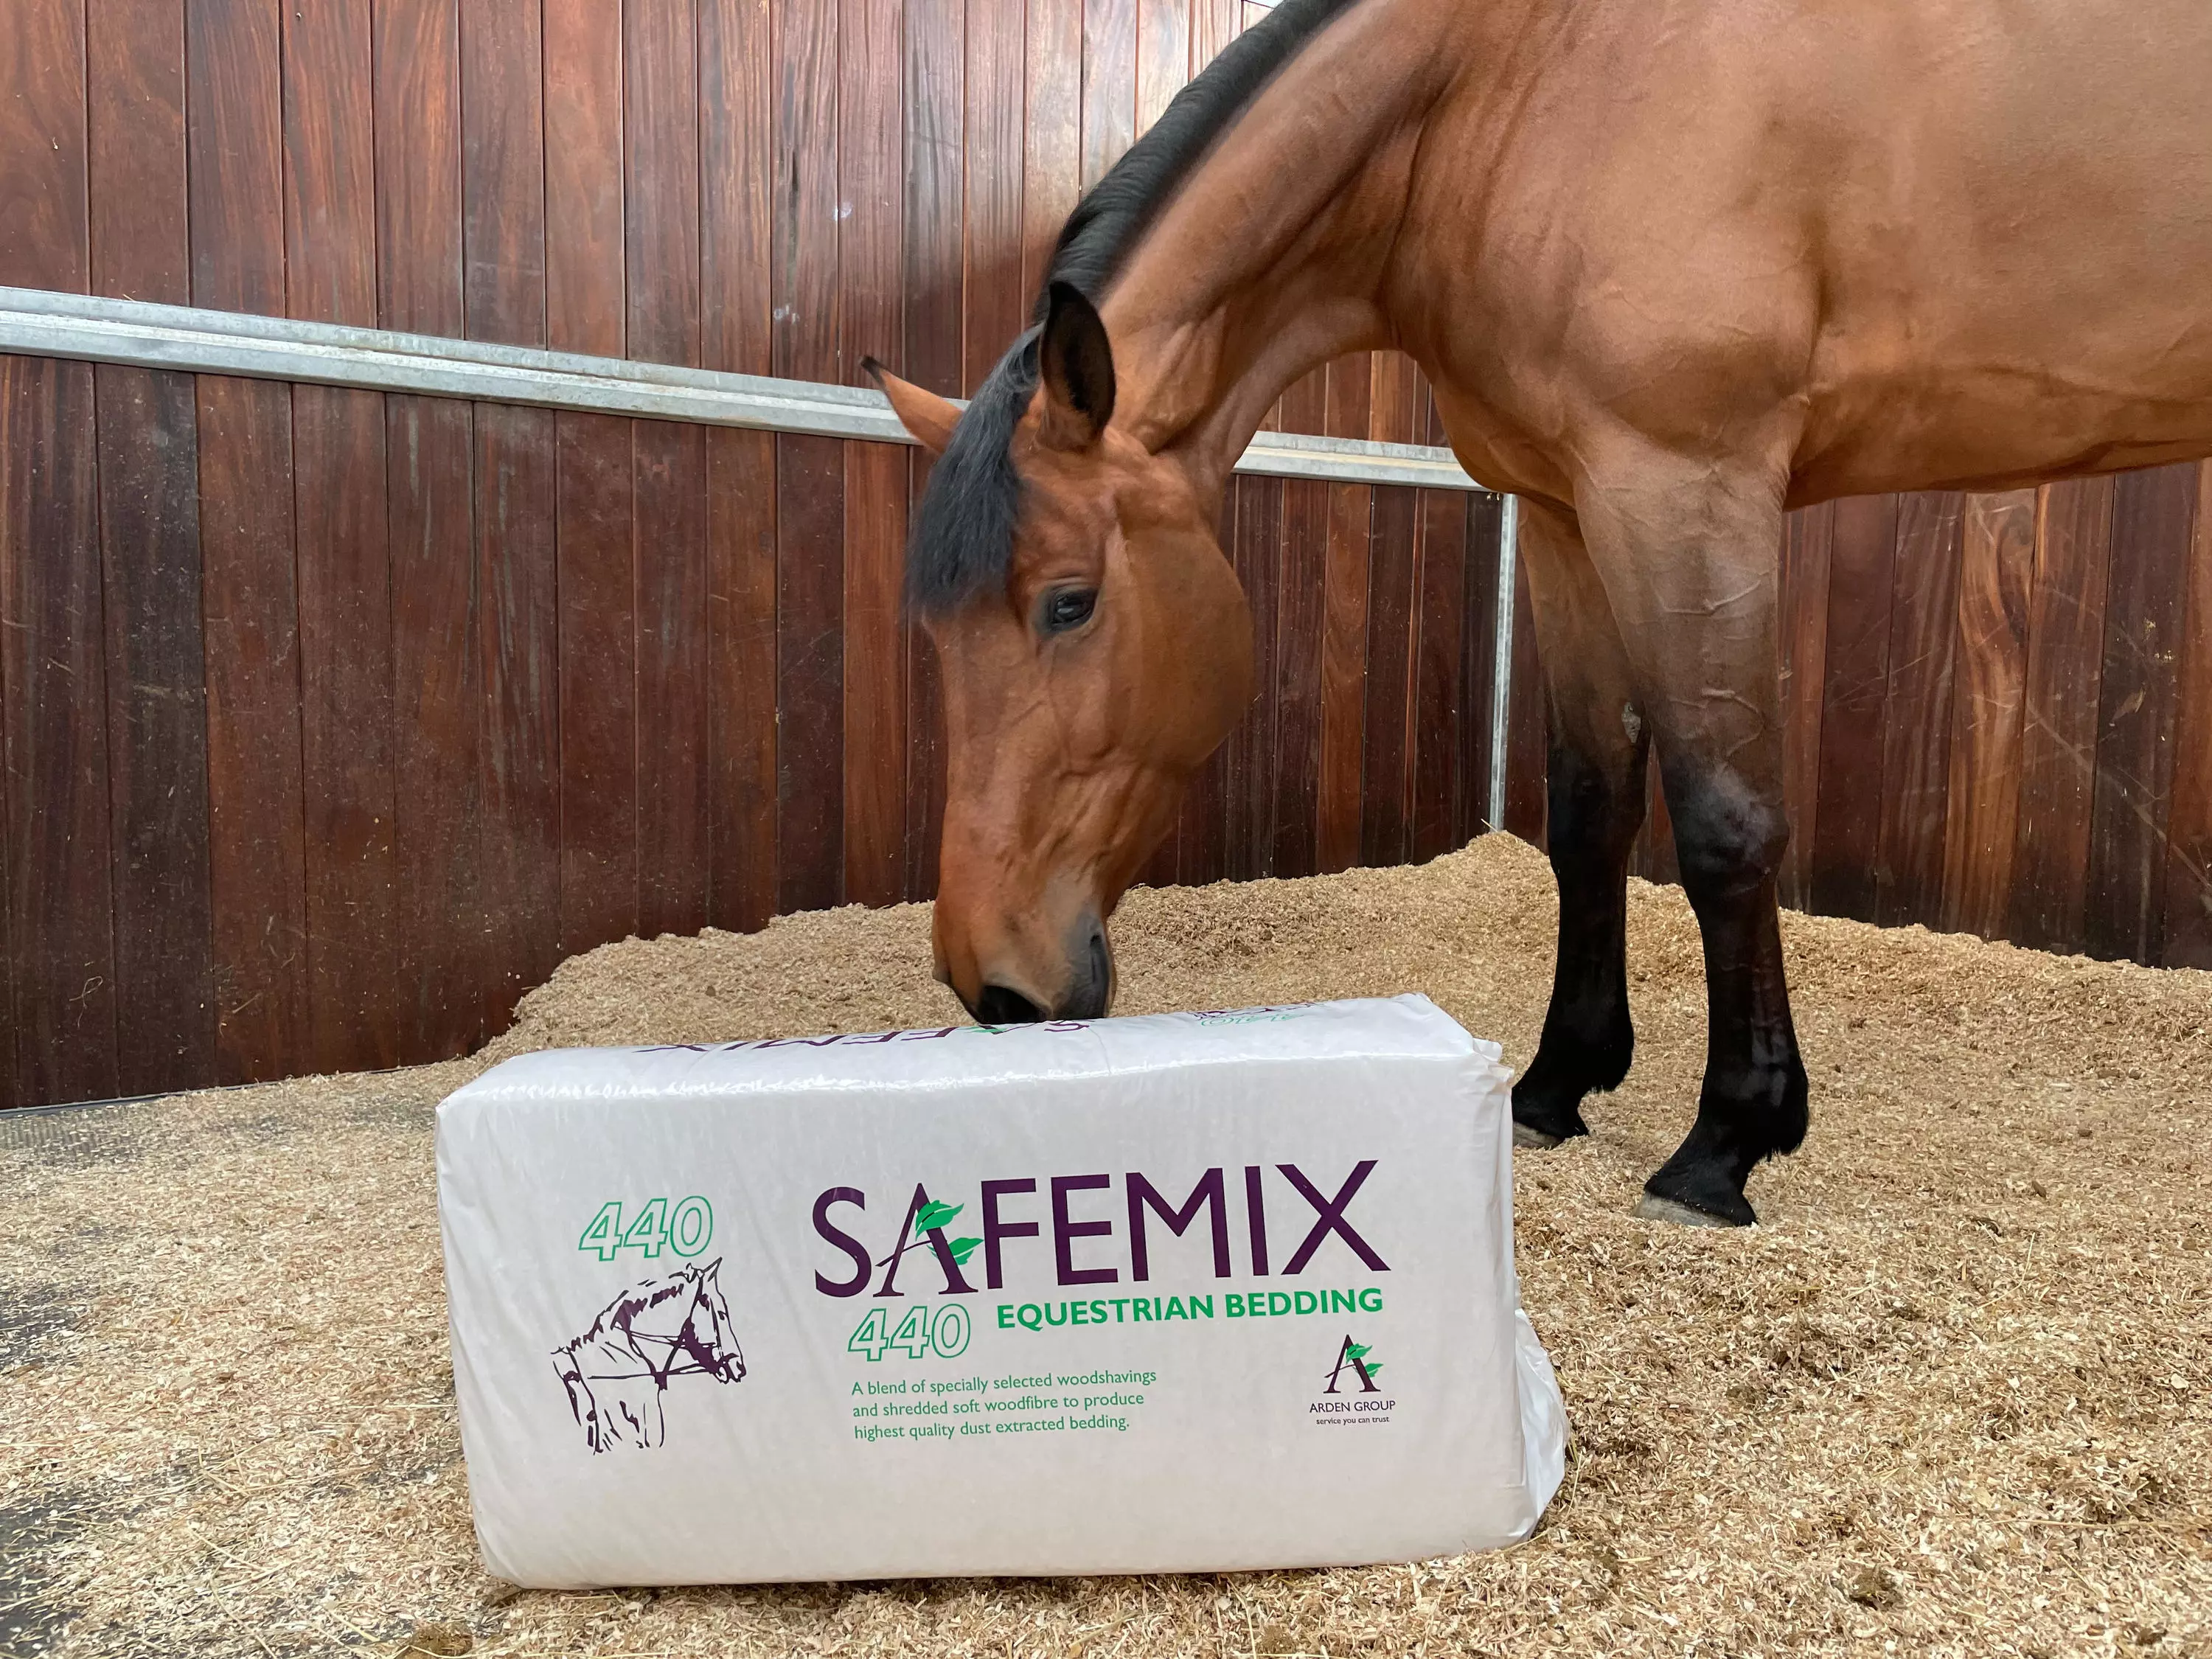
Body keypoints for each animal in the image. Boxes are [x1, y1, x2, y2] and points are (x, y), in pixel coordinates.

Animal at [867, 0, 2212, 1226]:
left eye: (1069, 602)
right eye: (934, 632)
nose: (993, 983)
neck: (1512, 89)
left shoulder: (1688, 488)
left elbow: (1725, 822)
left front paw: (1727, 1141)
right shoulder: (1570, 511)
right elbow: (1590, 812)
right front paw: (1558, 1084)